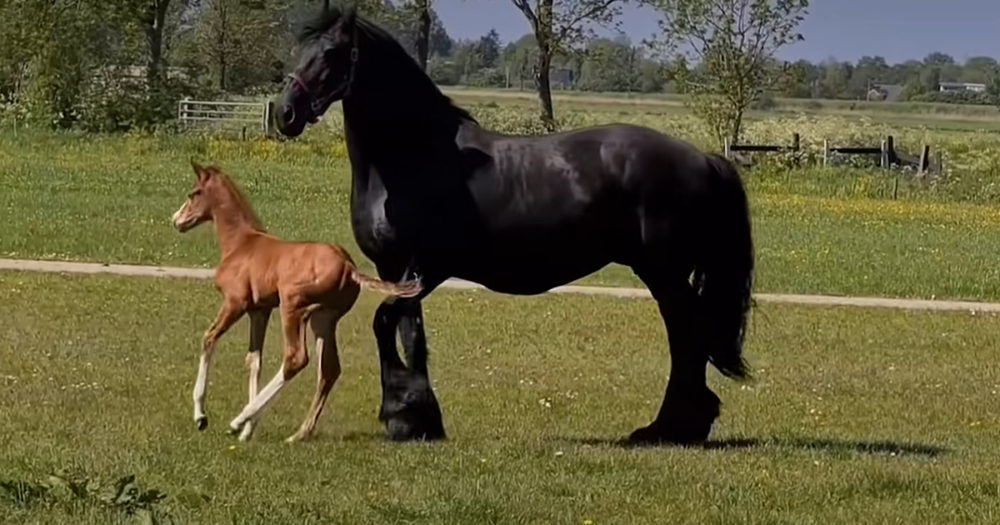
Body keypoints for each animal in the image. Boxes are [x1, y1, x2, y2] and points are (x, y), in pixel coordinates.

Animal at [172, 161, 422, 442]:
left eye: (193, 193)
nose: (177, 220)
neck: (241, 244)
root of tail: (348, 266)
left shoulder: (236, 303)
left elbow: (209, 338)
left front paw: (203, 417)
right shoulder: (260, 310)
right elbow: (254, 361)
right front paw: (248, 431)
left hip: (293, 306)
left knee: (296, 358)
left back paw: (238, 420)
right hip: (324, 318)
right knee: (329, 369)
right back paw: (299, 433)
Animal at [272, 2, 755, 445]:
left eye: (332, 52)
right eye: (299, 48)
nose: (285, 113)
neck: (414, 155)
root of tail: (703, 159)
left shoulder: (425, 267)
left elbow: (384, 322)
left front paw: (401, 412)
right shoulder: (395, 270)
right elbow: (411, 334)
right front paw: (419, 418)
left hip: (664, 273)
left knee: (687, 337)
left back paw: (670, 428)